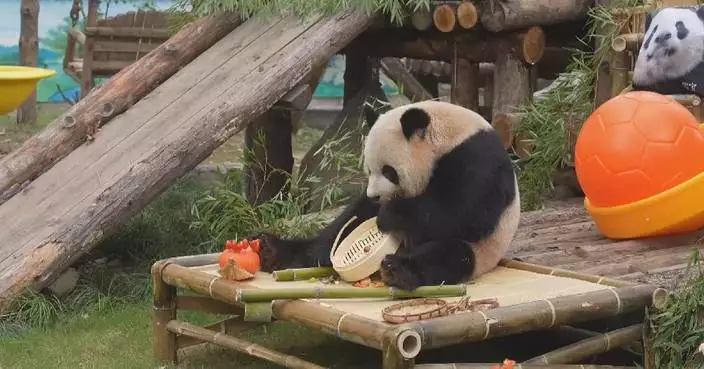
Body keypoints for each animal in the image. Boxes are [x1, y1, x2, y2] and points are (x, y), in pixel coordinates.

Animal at [253, 100, 524, 290]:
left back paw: (398, 269)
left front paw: (390, 216)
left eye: (389, 171)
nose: (374, 196)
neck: (447, 135)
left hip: (483, 251)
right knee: (333, 236)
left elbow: (467, 212)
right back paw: (273, 250)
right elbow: (352, 217)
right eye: (368, 169)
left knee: (452, 254)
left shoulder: (477, 159)